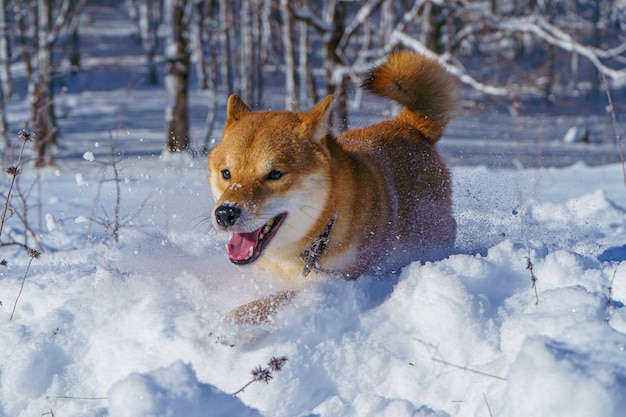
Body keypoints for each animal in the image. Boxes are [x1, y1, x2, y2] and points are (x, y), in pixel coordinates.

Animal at [207, 50, 456, 324]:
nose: (225, 213)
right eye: (226, 173)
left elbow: (277, 299)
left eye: (275, 174)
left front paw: (235, 321)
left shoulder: (341, 280)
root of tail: (409, 125)